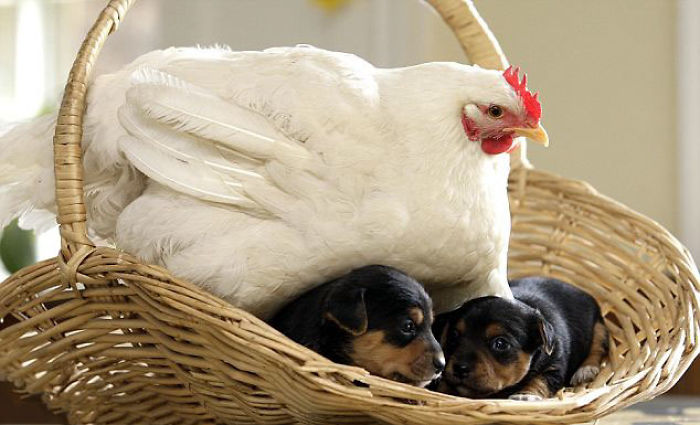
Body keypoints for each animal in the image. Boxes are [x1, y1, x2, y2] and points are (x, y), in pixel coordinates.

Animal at [434, 276, 608, 400]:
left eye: (500, 344)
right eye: (453, 336)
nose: (460, 368)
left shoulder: (555, 367)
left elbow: (540, 380)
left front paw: (526, 395)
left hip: (599, 326)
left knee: (598, 347)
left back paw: (586, 370)